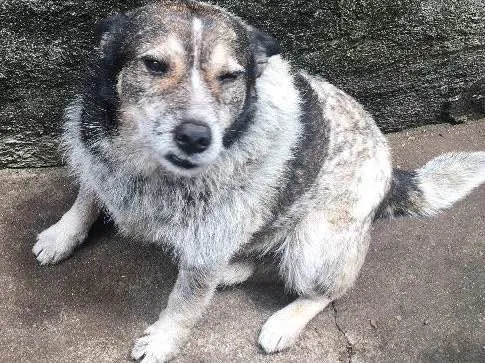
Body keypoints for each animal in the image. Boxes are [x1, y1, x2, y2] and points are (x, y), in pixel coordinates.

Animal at [31, 1, 484, 362]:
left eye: (230, 76)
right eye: (154, 64)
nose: (195, 136)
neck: (150, 167)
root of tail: (393, 176)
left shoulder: (208, 245)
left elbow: (184, 305)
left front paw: (162, 341)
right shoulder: (99, 162)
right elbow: (87, 197)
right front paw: (61, 235)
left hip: (314, 243)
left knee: (326, 290)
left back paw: (283, 321)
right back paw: (232, 270)